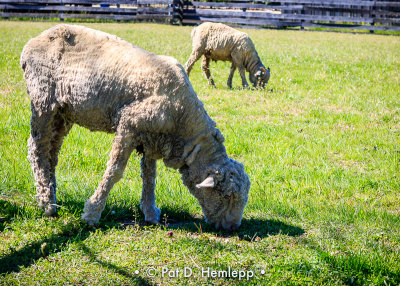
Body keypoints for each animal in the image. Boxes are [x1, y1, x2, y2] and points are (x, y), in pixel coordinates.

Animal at [21, 23, 250, 231]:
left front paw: (150, 213)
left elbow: (150, 176)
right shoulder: (128, 126)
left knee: (51, 153)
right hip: (43, 101)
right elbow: (114, 171)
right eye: (227, 195)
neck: (182, 118)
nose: (233, 227)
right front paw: (92, 213)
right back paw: (47, 204)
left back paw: (51, 194)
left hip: (63, 112)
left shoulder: (152, 138)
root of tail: (34, 40)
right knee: (37, 148)